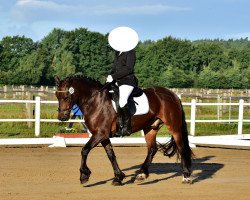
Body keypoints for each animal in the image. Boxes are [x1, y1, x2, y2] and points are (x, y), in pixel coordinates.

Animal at [53, 75, 192, 186]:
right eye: (57, 96)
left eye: (66, 96)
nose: (62, 117)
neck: (95, 102)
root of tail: (172, 94)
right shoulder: (103, 135)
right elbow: (111, 155)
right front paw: (118, 177)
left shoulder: (99, 134)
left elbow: (85, 150)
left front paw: (84, 175)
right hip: (150, 128)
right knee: (152, 149)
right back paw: (142, 174)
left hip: (174, 127)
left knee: (181, 147)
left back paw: (186, 176)